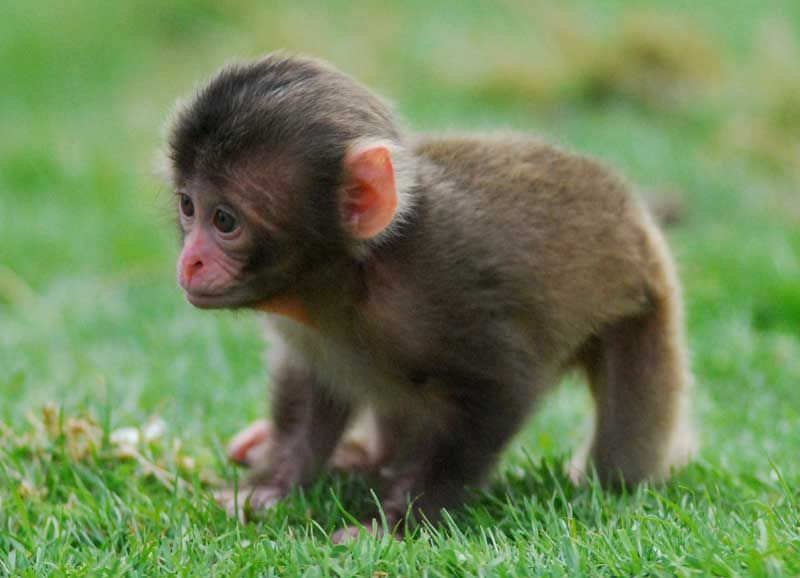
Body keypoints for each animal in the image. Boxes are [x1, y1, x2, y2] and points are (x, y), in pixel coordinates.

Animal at [166, 53, 695, 540]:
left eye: (225, 220)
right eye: (188, 206)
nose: (190, 261)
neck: (352, 275)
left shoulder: (447, 284)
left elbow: (498, 392)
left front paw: (396, 522)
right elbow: (312, 384)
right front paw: (271, 484)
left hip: (647, 305)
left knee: (622, 455)